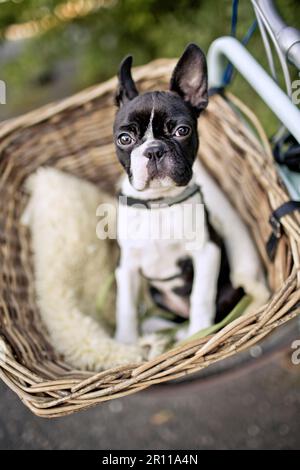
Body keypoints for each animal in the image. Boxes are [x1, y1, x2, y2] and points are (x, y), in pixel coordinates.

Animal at [113, 44, 268, 344]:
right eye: (124, 139)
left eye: (181, 131)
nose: (154, 150)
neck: (160, 204)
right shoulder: (127, 266)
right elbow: (125, 305)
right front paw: (125, 343)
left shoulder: (207, 252)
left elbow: (201, 297)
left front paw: (198, 332)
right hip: (156, 293)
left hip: (231, 288)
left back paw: (184, 332)